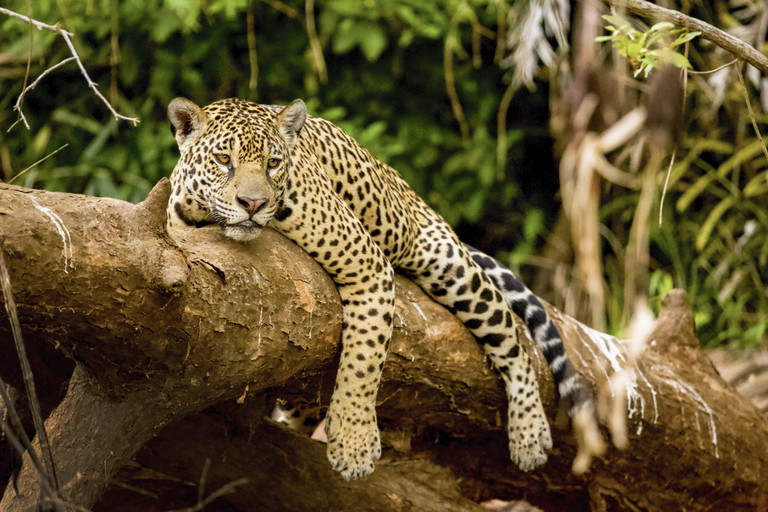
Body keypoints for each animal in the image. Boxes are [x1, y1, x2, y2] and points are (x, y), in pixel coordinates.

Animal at [166, 97, 594, 480]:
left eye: (273, 163)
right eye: (224, 160)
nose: (252, 203)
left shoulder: (367, 263)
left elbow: (363, 359)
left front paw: (354, 444)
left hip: (450, 267)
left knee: (513, 343)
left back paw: (530, 433)